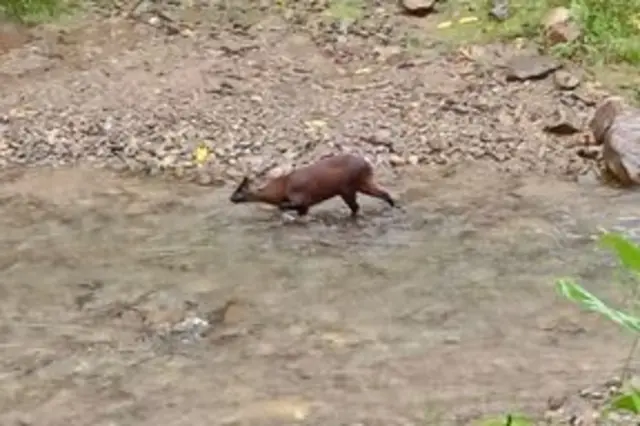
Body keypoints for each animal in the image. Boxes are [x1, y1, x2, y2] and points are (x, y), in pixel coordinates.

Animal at [228, 154, 392, 218]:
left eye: (239, 190)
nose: (230, 198)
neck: (282, 187)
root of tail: (368, 164)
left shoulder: (301, 198)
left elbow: (283, 206)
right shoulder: (303, 205)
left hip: (348, 187)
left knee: (356, 206)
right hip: (360, 184)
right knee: (381, 193)